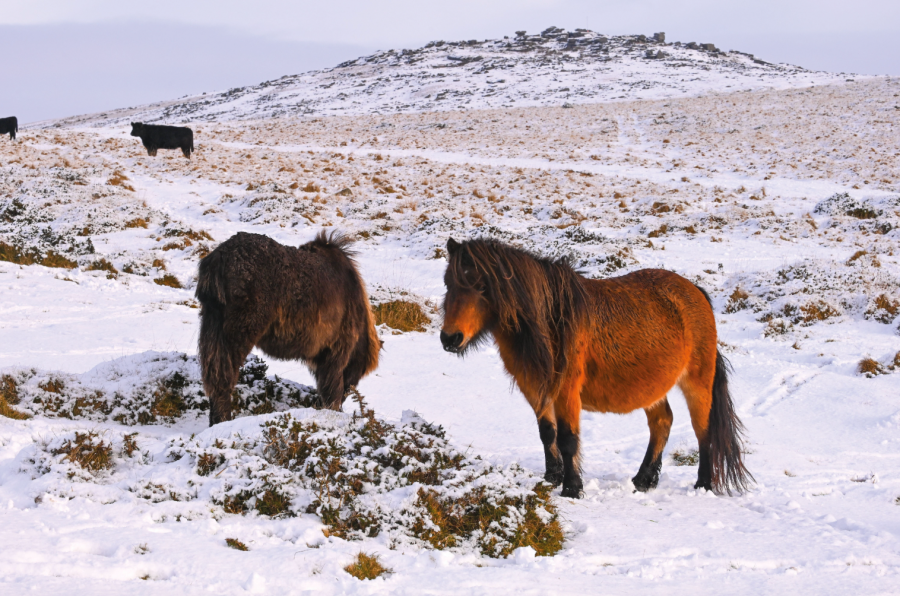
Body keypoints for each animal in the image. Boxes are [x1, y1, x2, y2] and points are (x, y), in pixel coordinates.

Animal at [196, 231, 380, 426]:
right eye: (358, 375)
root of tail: (219, 257)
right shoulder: (336, 352)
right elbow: (332, 388)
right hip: (238, 334)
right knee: (224, 378)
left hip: (213, 327)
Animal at [439, 237, 752, 498]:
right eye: (448, 283)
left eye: (482, 287)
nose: (450, 338)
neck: (549, 321)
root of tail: (695, 291)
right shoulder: (536, 389)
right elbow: (547, 433)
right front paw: (551, 478)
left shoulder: (566, 391)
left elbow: (567, 439)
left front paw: (571, 488)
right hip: (653, 387)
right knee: (662, 422)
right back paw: (643, 480)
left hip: (697, 383)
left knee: (703, 431)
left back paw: (703, 485)